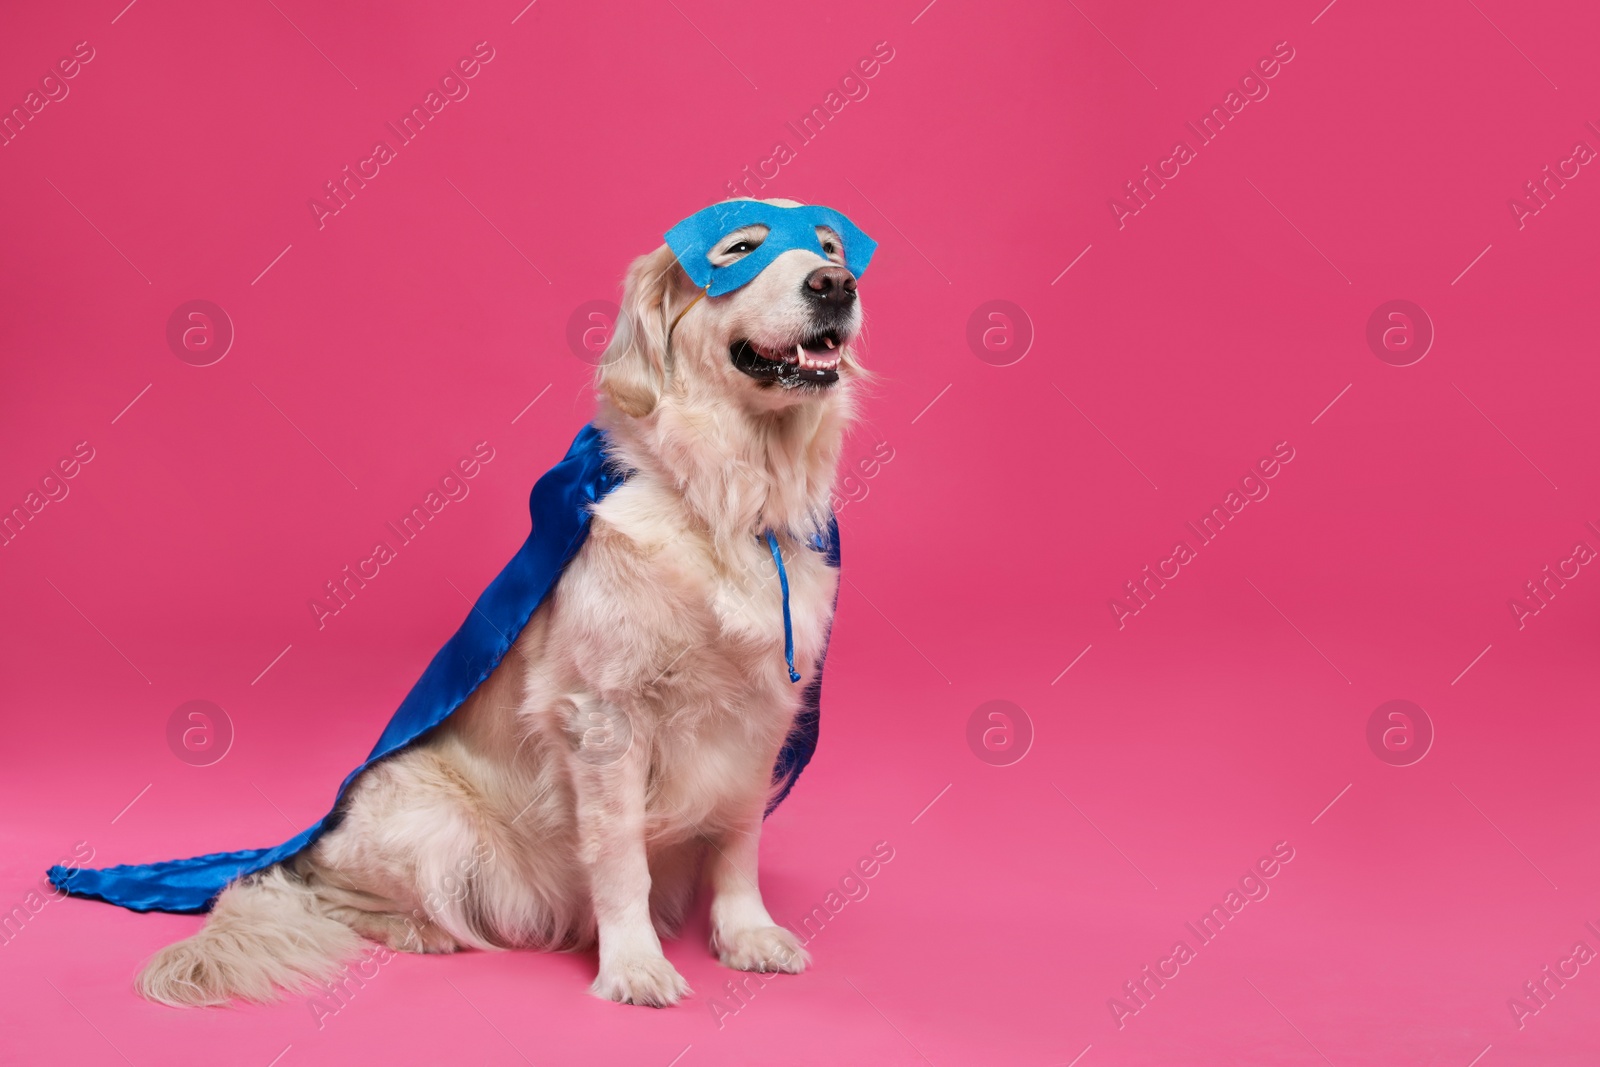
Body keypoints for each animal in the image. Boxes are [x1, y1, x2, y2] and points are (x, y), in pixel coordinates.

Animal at [132, 199, 870, 1011]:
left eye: (832, 248)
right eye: (739, 249)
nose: (835, 285)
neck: (728, 498)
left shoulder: (763, 711)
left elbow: (739, 839)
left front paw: (746, 934)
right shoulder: (605, 717)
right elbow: (621, 858)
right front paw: (634, 964)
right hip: (429, 820)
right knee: (321, 892)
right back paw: (416, 930)